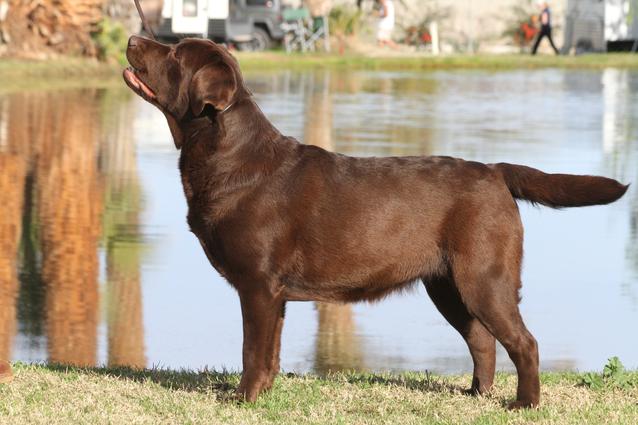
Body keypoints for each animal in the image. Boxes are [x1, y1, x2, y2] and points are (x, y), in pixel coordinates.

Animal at [124, 35, 632, 408]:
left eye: (174, 53)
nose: (132, 37)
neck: (230, 154)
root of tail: (494, 171)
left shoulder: (258, 285)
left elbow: (253, 350)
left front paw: (243, 400)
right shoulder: (274, 295)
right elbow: (270, 352)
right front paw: (261, 395)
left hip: (484, 278)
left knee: (524, 342)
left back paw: (524, 404)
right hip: (448, 285)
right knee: (483, 341)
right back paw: (475, 395)